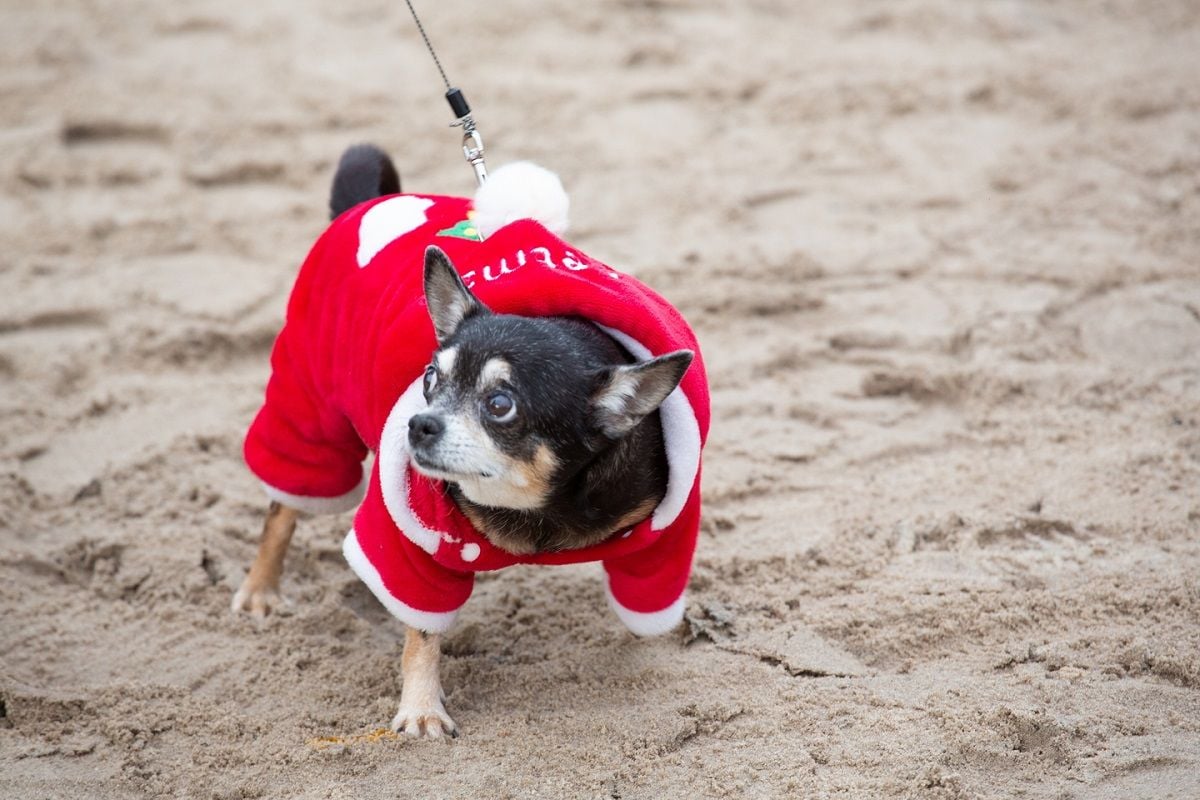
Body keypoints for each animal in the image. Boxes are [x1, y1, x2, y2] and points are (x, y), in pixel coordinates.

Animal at [229, 143, 705, 738]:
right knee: (284, 505)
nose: (418, 423)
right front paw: (422, 709)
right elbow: (422, 632)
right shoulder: (412, 543)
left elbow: (648, 610)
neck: (541, 509)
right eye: (431, 377)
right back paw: (260, 590)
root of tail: (369, 204)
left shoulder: (664, 532)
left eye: (501, 405)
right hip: (310, 404)